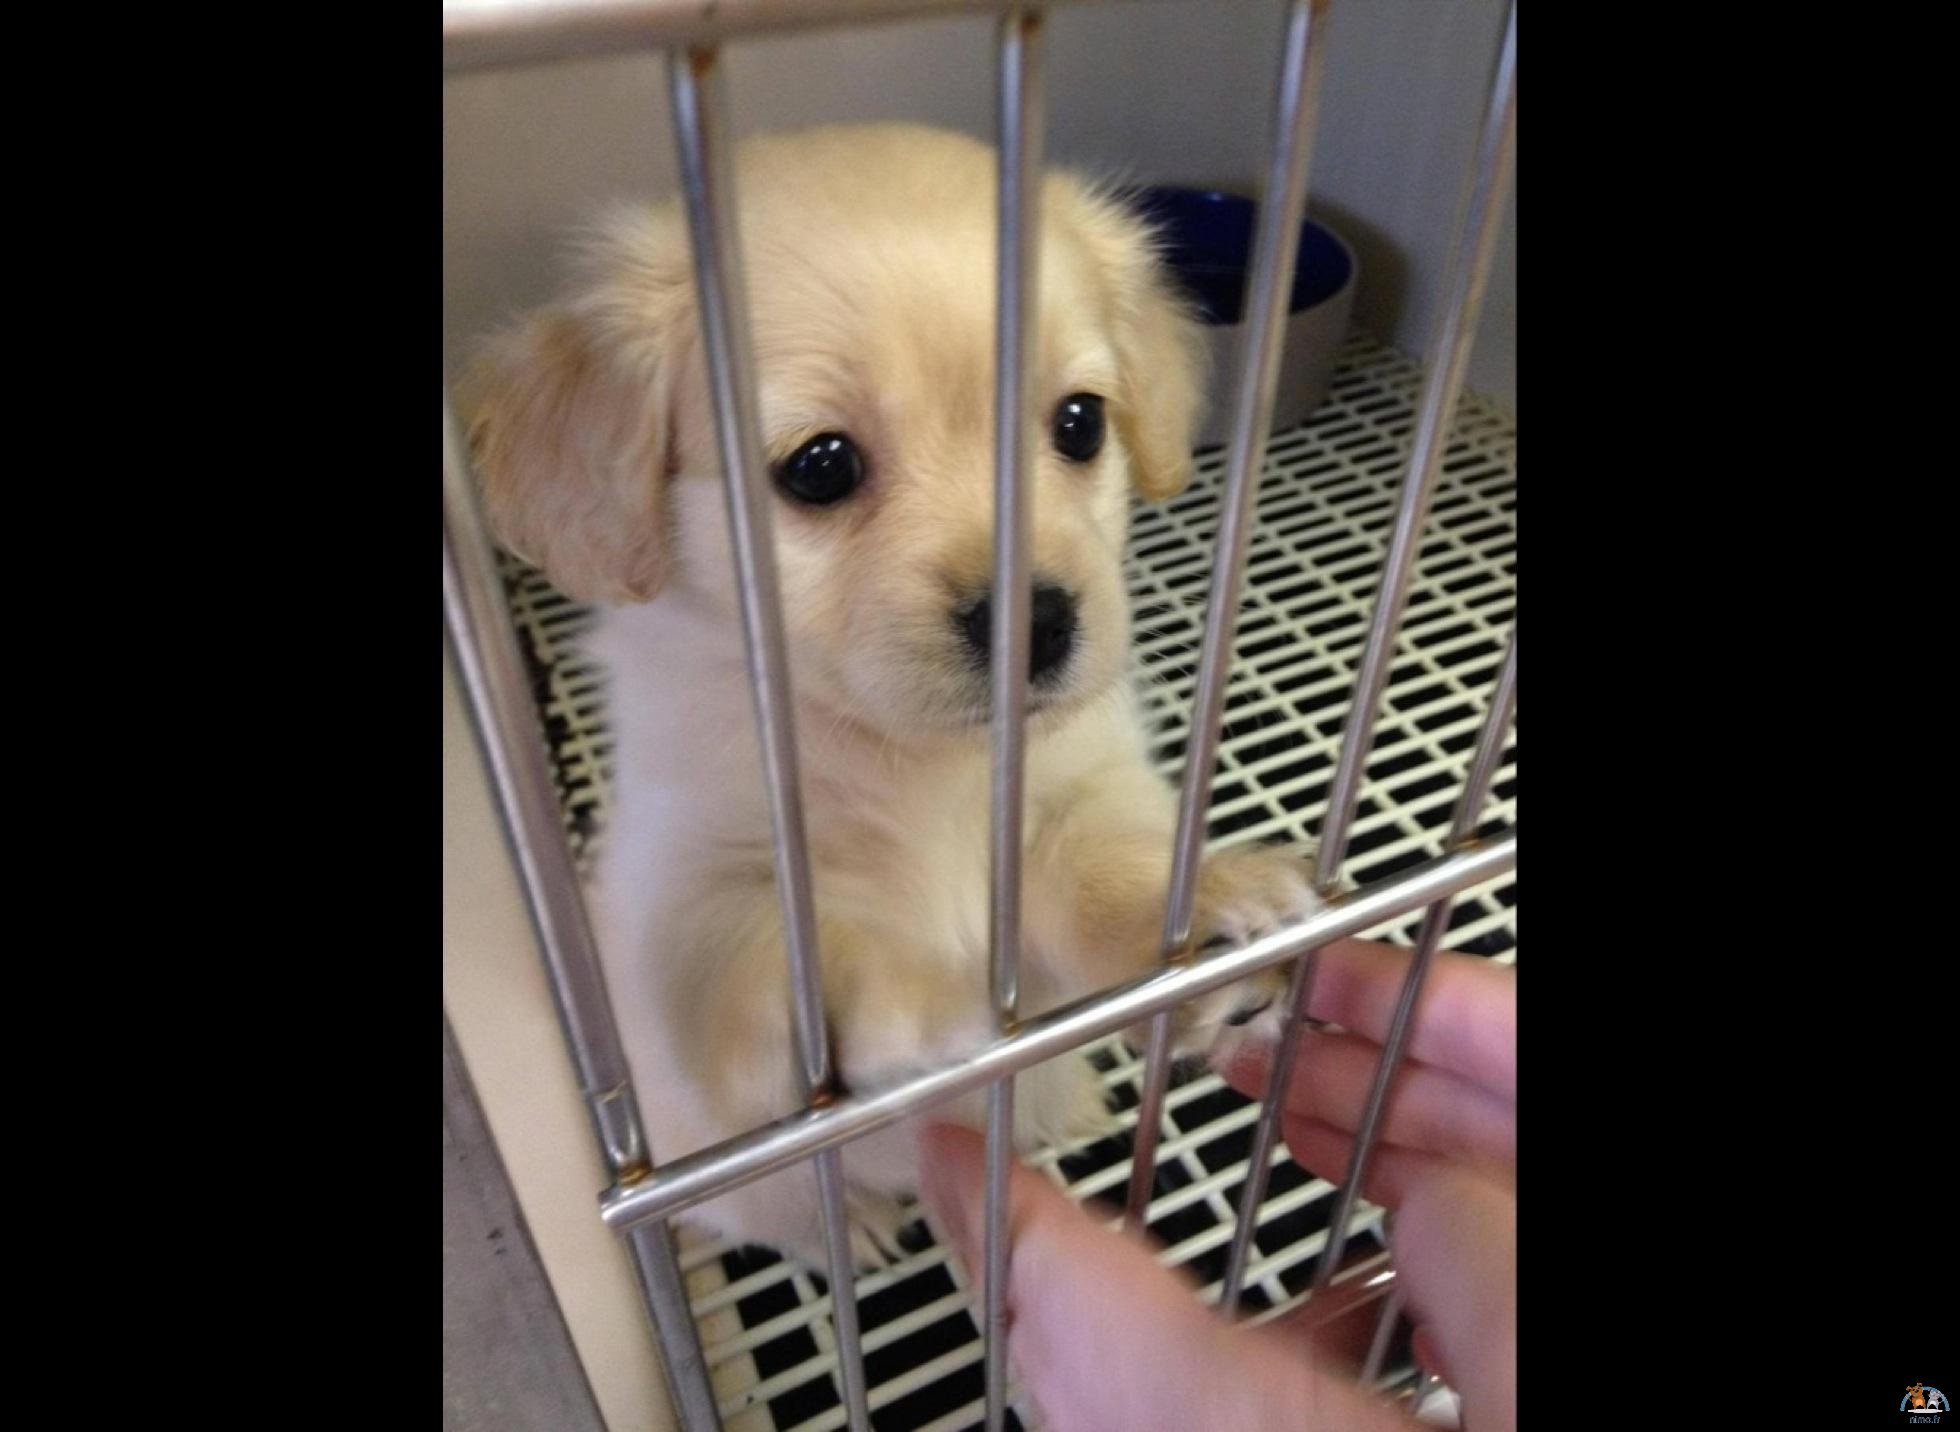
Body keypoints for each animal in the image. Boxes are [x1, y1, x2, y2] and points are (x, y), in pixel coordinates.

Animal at [466, 123, 1320, 1268]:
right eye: (819, 466)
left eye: (1080, 424)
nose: (1036, 625)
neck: (921, 761)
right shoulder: (702, 891)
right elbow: (797, 964)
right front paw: (934, 1019)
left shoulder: (1074, 798)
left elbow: (1103, 877)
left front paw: (1212, 912)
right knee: (772, 1212)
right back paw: (857, 1225)